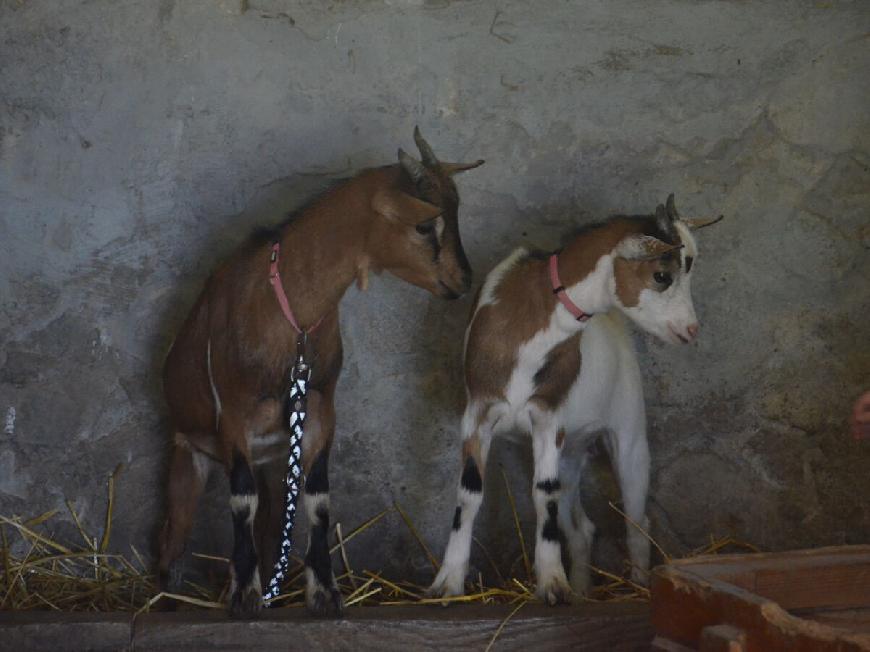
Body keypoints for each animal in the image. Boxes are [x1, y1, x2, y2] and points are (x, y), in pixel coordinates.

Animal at [157, 130, 484, 620]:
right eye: (426, 226)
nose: (464, 280)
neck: (292, 314)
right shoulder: (234, 414)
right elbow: (241, 502)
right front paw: (245, 595)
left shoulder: (320, 406)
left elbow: (317, 501)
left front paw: (325, 591)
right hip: (188, 450)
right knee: (176, 531)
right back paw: (171, 591)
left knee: (270, 521)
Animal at [430, 195, 724, 608]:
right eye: (662, 275)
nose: (690, 330)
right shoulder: (478, 412)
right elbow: (471, 492)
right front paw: (448, 583)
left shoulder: (548, 416)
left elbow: (543, 494)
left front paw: (552, 583)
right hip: (570, 452)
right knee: (582, 526)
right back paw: (584, 590)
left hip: (629, 434)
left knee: (637, 520)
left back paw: (638, 587)